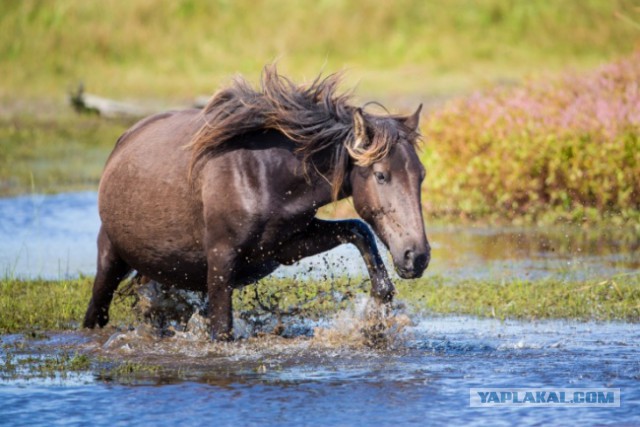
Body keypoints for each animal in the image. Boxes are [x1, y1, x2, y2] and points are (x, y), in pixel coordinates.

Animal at [81, 66, 430, 342]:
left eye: (422, 175)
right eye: (382, 175)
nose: (417, 257)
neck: (263, 174)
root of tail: (124, 140)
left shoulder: (286, 246)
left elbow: (358, 230)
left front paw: (377, 311)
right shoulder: (221, 260)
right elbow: (221, 330)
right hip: (110, 258)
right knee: (96, 313)